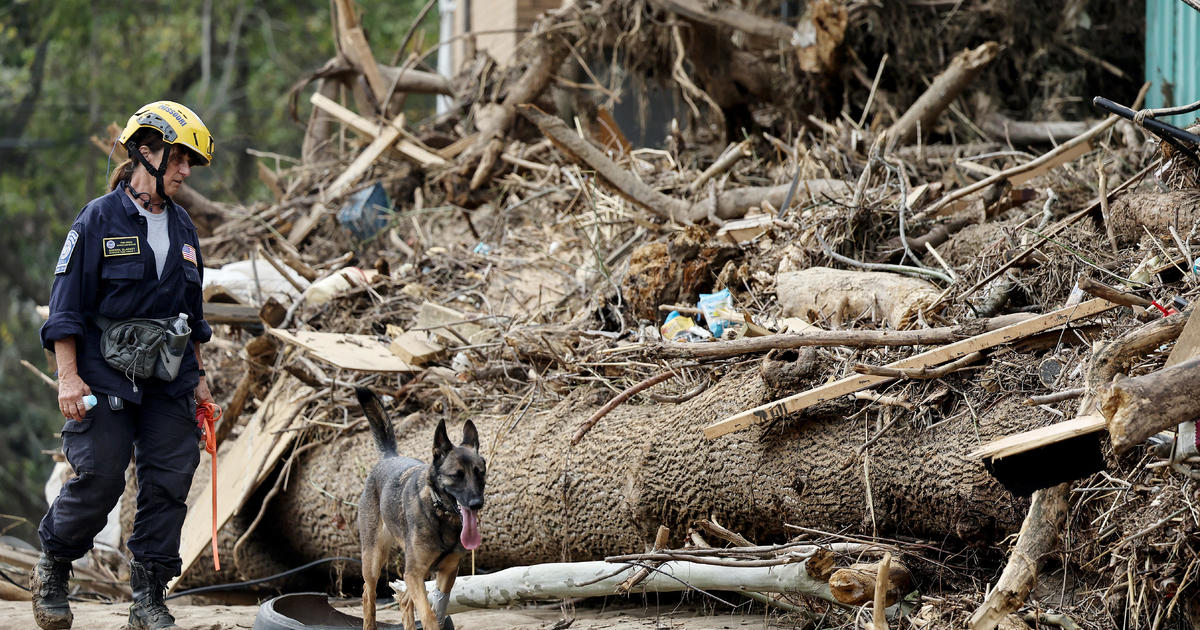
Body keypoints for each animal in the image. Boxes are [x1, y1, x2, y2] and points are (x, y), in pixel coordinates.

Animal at [355, 386, 487, 628]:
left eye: (480, 473)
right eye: (457, 475)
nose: (476, 503)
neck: (440, 515)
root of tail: (390, 457)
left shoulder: (446, 573)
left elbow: (436, 609)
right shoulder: (414, 573)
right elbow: (428, 615)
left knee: (405, 599)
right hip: (374, 558)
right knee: (368, 594)